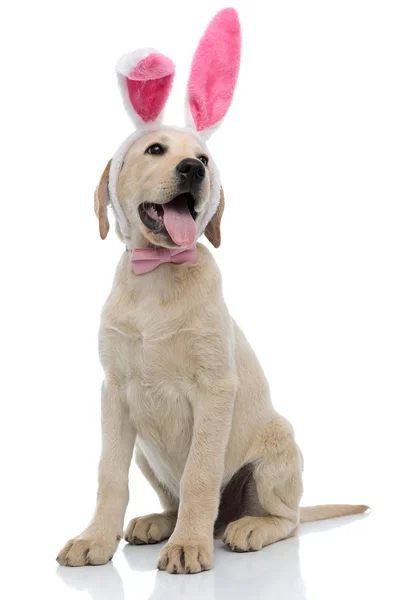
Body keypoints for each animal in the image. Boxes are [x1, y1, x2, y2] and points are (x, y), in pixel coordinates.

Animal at [57, 9, 368, 576]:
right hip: (147, 453)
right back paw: (159, 522)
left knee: (284, 519)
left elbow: (200, 474)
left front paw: (188, 546)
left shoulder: (214, 390)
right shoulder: (114, 392)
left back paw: (243, 527)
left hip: (276, 453)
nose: (194, 168)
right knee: (175, 496)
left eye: (203, 157)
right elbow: (109, 475)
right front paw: (96, 539)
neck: (158, 275)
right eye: (155, 149)